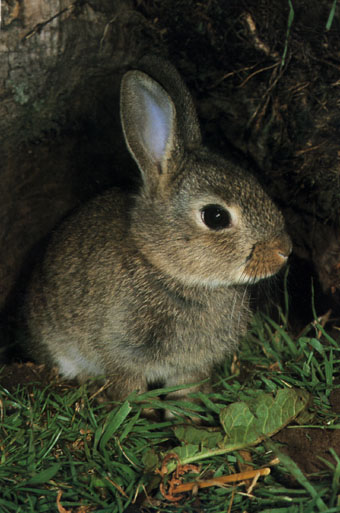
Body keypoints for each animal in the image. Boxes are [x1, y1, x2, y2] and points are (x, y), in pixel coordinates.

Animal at [23, 57, 292, 408]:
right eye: (216, 216)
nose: (284, 250)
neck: (166, 269)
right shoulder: (122, 355)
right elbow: (129, 390)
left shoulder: (191, 368)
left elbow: (186, 393)